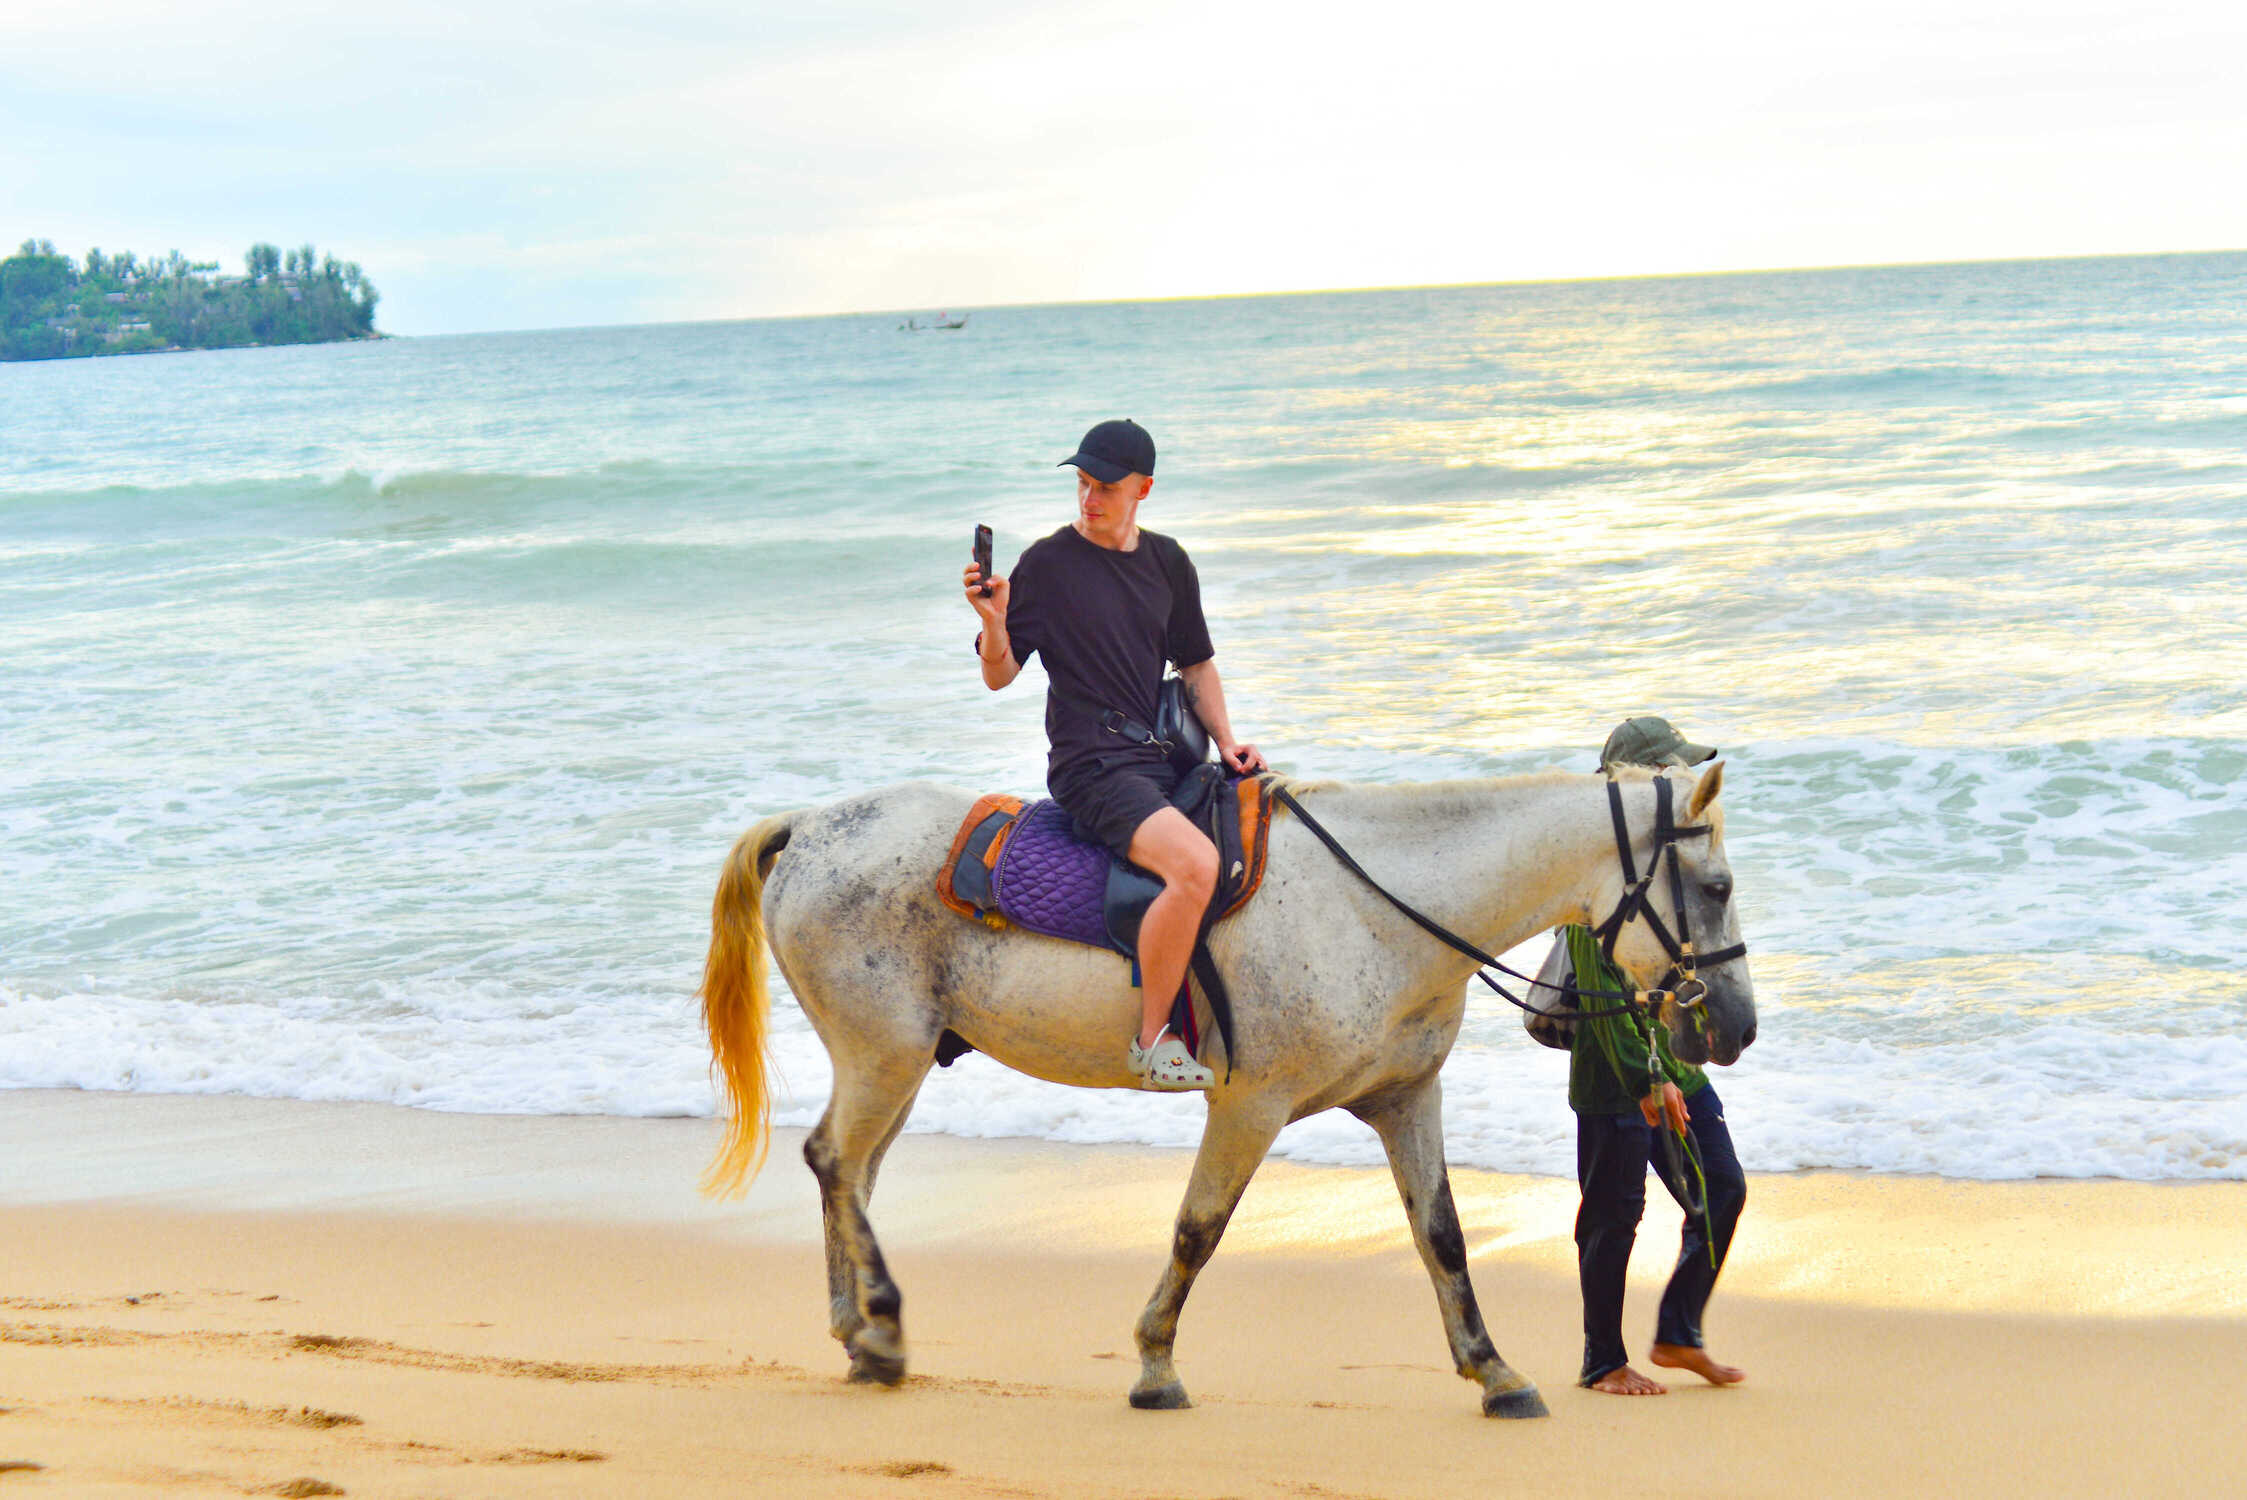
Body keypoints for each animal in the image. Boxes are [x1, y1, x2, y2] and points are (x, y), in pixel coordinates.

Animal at [701, 763, 1752, 1419]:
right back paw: (877, 1329)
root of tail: (810, 829)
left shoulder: (1406, 1099)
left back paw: (858, 1334)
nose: (1733, 1027)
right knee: (837, 1162)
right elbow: (1197, 1231)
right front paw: (1155, 1365)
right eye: (1716, 886)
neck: (1373, 908)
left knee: (850, 1174)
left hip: (896, 1060)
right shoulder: (1249, 1106)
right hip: (886, 1054)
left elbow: (1442, 1238)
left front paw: (1493, 1372)